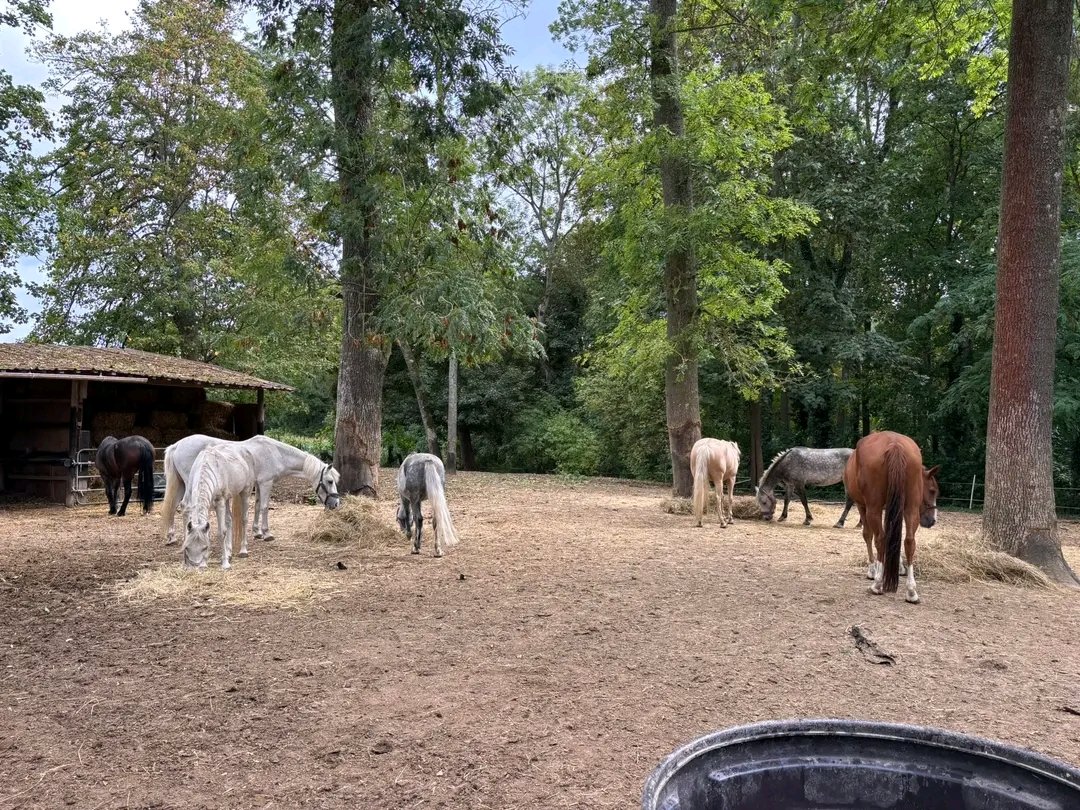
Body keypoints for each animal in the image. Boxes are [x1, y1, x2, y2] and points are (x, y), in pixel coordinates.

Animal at [161, 434, 341, 551]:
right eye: (330, 481)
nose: (336, 504)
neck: (275, 452)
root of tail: (177, 445)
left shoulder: (258, 485)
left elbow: (257, 506)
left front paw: (257, 532)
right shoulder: (266, 483)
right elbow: (265, 507)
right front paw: (267, 533)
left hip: (182, 484)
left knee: (176, 506)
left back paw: (172, 537)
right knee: (187, 506)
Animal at [843, 431, 939, 604]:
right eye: (932, 490)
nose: (933, 520)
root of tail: (895, 444)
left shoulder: (862, 506)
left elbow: (868, 535)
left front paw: (873, 570)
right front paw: (899, 567)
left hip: (873, 509)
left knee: (880, 539)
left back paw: (878, 584)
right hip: (910, 509)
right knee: (909, 541)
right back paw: (911, 591)